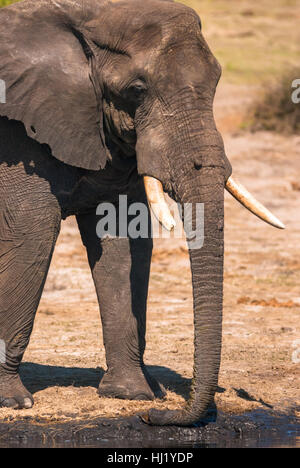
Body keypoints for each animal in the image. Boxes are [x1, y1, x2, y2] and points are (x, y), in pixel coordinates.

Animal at [0, 0, 284, 426]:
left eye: (217, 82)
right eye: (136, 90)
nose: (157, 415)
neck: (86, 16)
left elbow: (124, 237)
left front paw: (131, 395)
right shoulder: (19, 137)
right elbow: (31, 234)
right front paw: (13, 402)